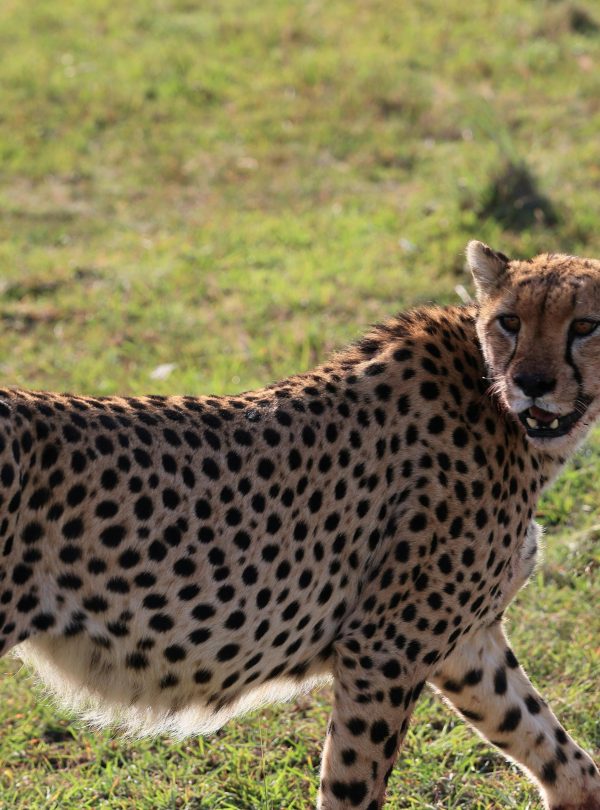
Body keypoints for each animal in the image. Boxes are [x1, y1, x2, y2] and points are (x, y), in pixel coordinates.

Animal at [0, 240, 599, 810]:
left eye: (585, 326)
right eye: (510, 321)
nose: (532, 383)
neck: (500, 408)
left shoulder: (466, 643)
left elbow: (566, 759)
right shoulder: (384, 648)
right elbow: (352, 785)